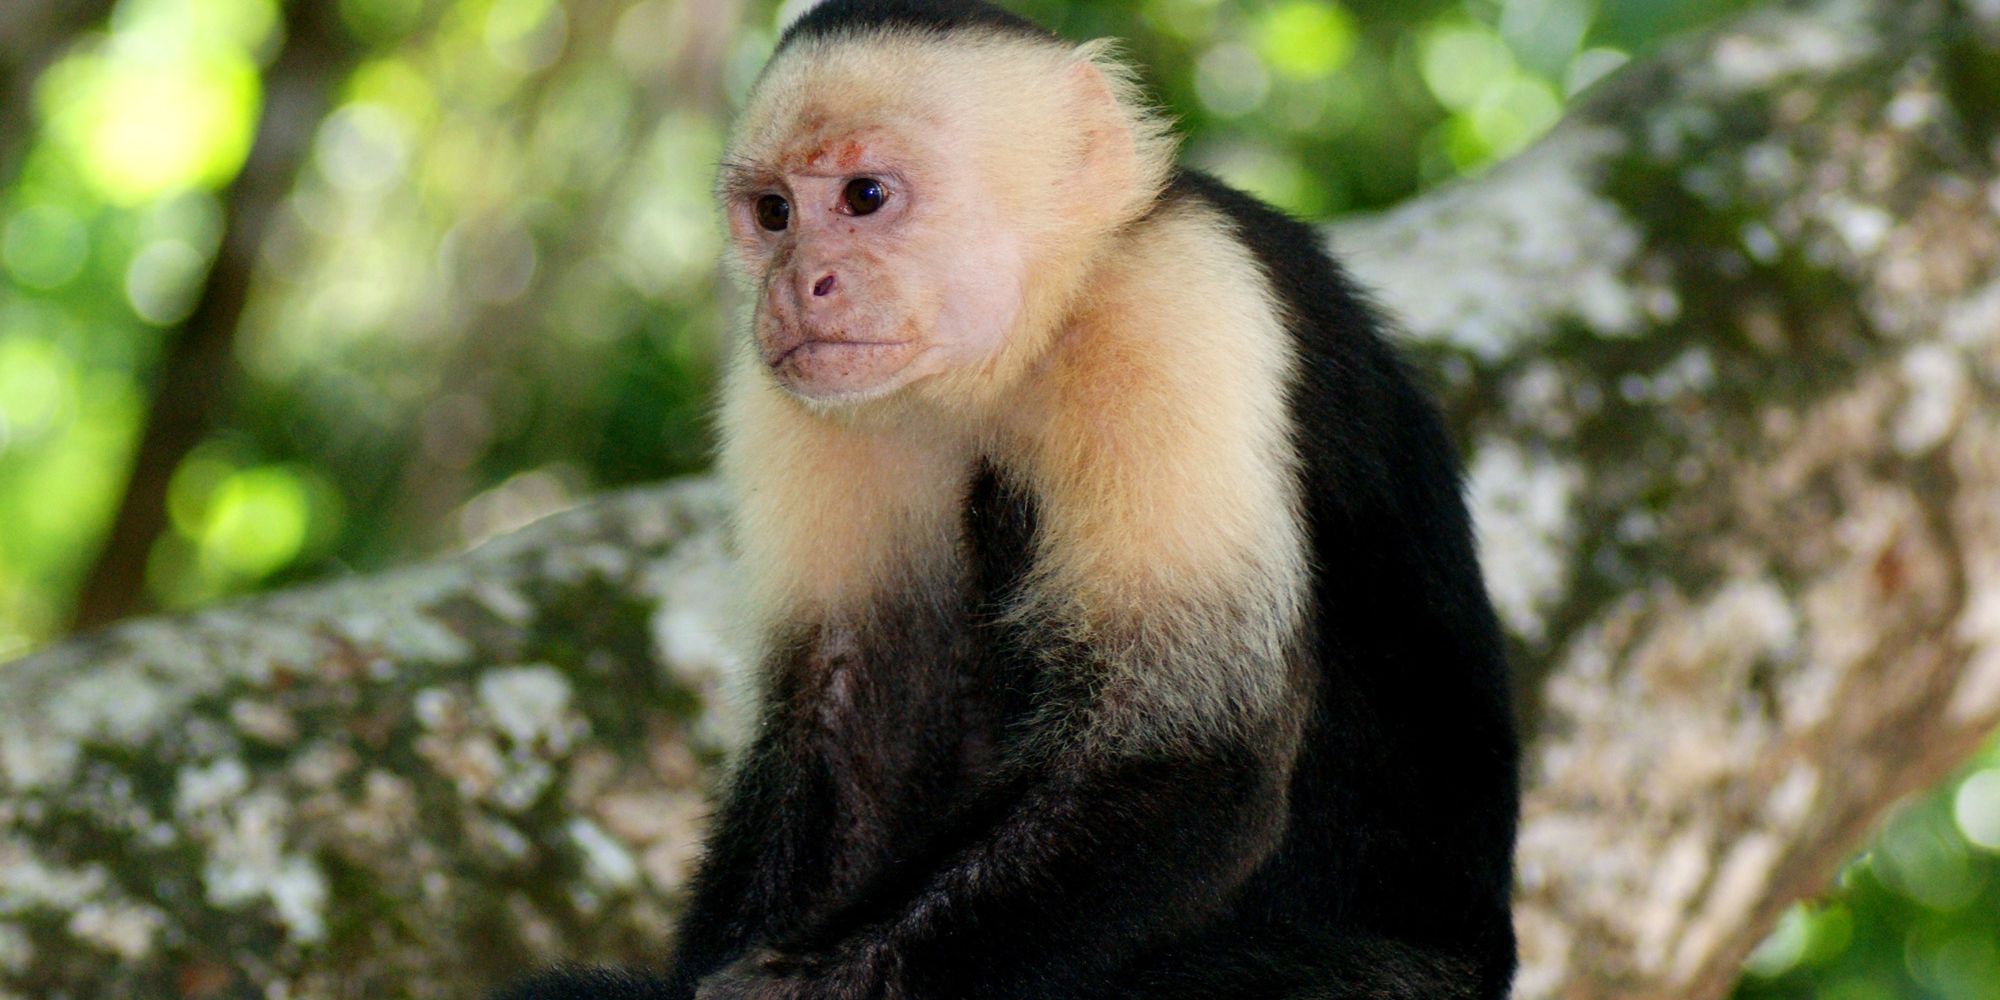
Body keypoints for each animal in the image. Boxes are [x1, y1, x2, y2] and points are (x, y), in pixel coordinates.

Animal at [497, 0, 1519, 997]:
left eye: (864, 197)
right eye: (774, 213)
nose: (796, 288)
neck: (1021, 344)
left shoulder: (1177, 306)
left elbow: (1182, 751)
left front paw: (800, 988)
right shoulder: (794, 399)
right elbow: (843, 713)